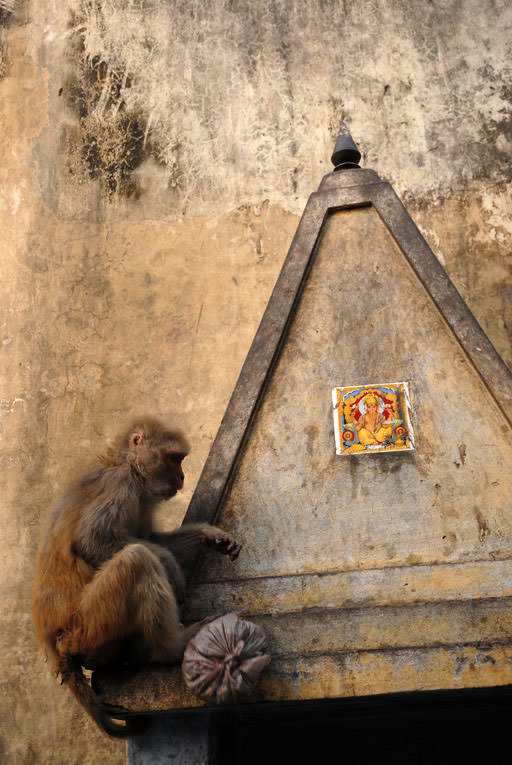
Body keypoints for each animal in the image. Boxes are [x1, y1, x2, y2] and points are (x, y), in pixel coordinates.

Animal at [31, 414, 240, 736]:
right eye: (174, 459)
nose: (182, 477)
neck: (126, 464)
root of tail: (56, 647)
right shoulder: (121, 486)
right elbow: (92, 542)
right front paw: (169, 563)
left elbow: (149, 538)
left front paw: (208, 535)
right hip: (87, 627)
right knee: (136, 560)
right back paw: (170, 648)